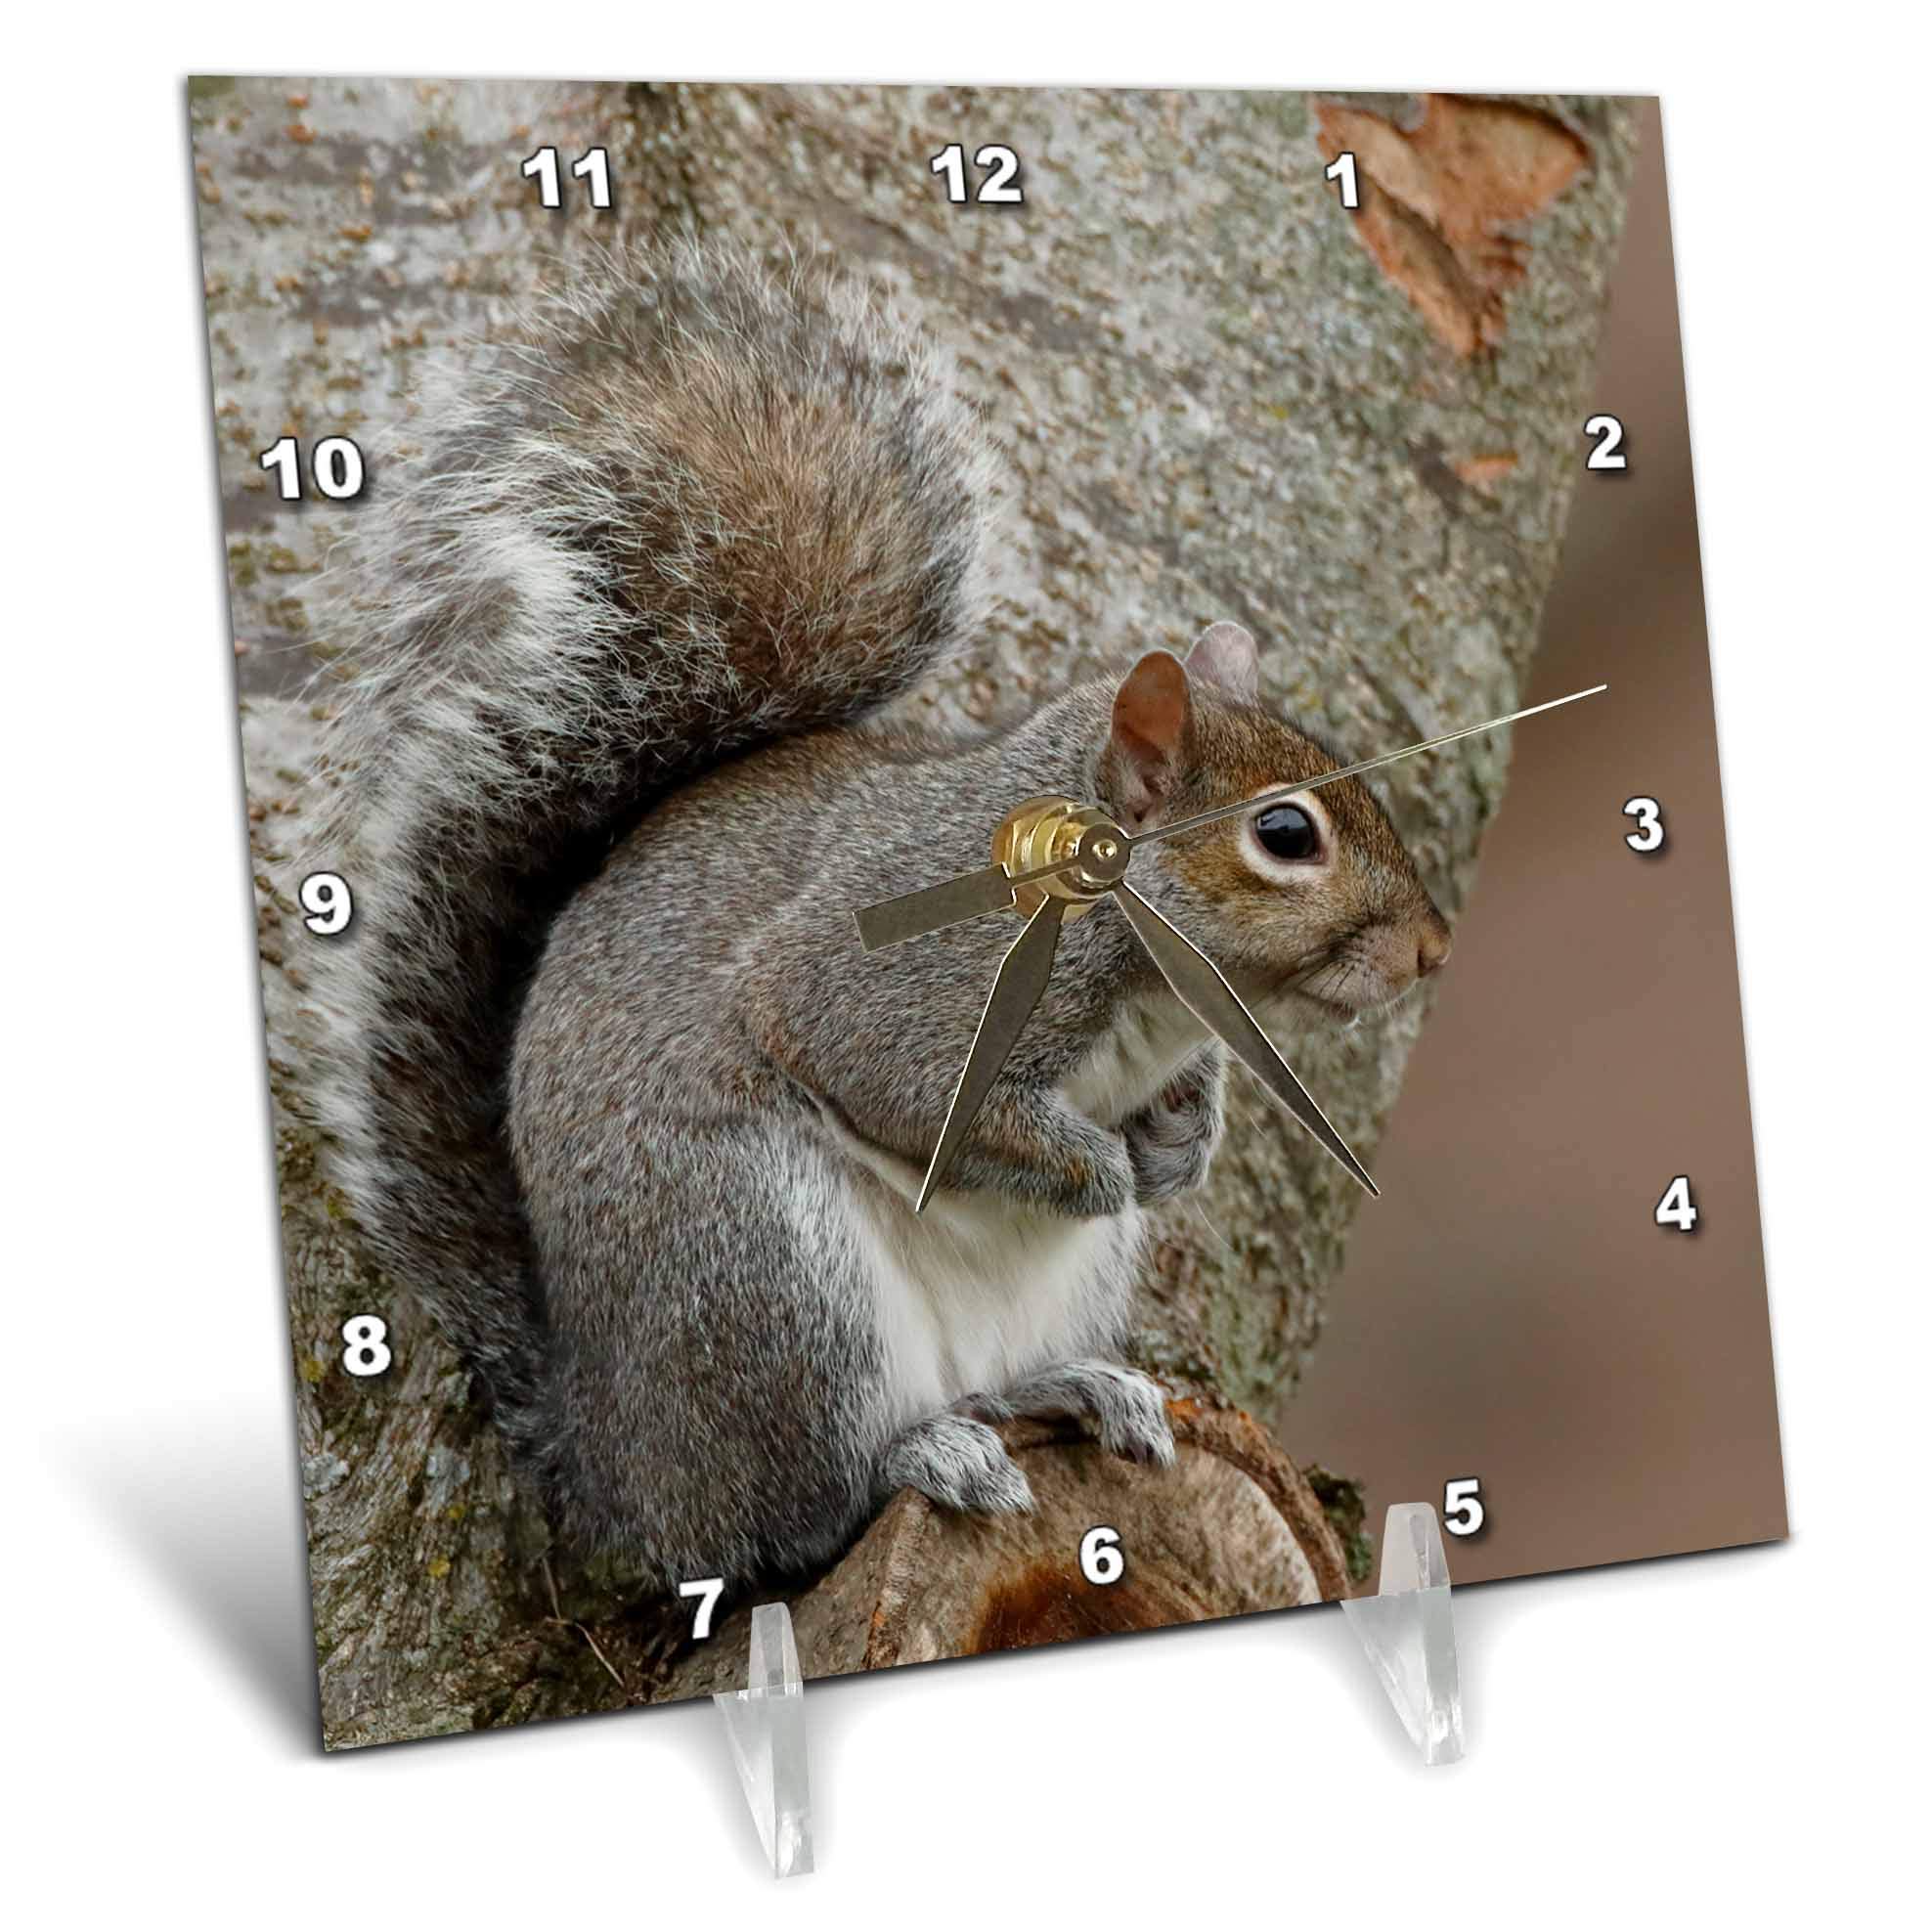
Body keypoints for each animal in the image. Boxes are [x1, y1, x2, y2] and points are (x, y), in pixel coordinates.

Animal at [307, 241, 1452, 1588]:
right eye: (1283, 834)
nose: (1430, 947)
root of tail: (612, 1467)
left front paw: (1183, 1144)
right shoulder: (901, 979)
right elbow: (890, 1075)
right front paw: (1103, 1164)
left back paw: (1067, 1387)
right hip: (766, 1273)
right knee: (799, 1508)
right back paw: (920, 1453)